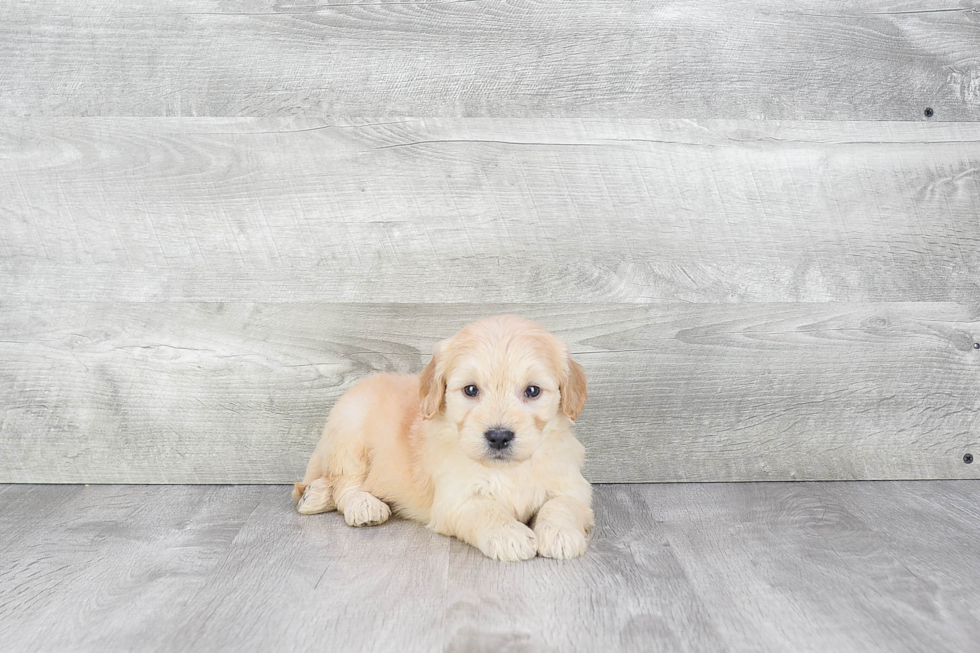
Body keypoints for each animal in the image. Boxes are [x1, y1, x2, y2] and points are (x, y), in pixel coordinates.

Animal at [290, 314, 592, 556]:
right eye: (471, 390)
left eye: (532, 391)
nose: (498, 436)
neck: (507, 470)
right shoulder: (455, 499)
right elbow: (486, 509)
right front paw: (509, 535)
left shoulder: (571, 485)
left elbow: (562, 505)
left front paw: (560, 534)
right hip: (350, 433)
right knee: (345, 484)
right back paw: (359, 505)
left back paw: (315, 495)